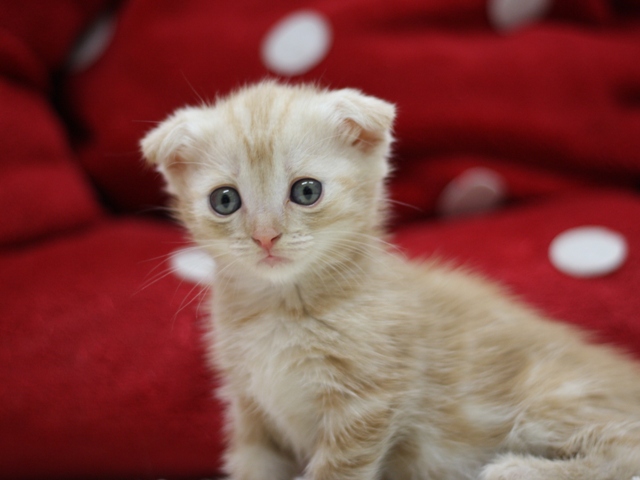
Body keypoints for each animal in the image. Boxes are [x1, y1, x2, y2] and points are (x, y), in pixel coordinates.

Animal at [141, 80, 640, 478]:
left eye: (306, 191)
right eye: (224, 200)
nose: (266, 236)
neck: (281, 307)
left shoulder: (365, 406)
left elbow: (335, 471)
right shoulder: (251, 410)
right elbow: (253, 466)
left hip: (551, 397)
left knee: (624, 449)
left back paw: (516, 469)